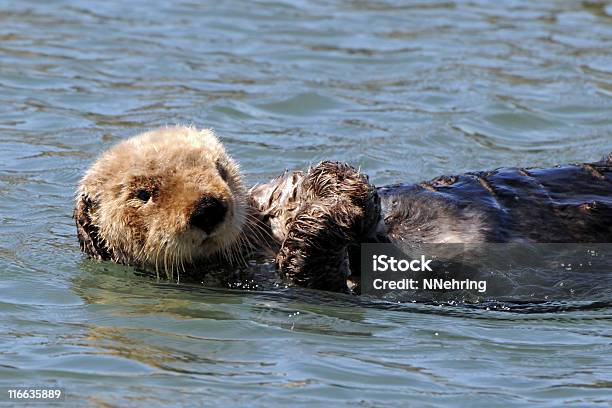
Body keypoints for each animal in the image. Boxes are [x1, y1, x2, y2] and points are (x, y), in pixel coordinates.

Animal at [75, 126, 612, 292]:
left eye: (220, 169)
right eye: (143, 193)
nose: (210, 206)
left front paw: (331, 182)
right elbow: (318, 267)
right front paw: (329, 212)